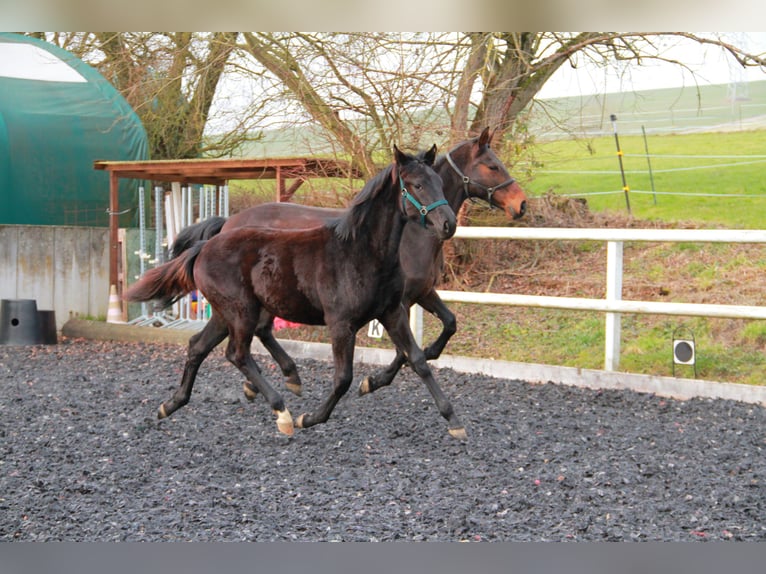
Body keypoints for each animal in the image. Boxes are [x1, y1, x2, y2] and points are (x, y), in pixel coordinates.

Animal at [125, 146, 465, 438]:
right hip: (241, 312)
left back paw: (170, 404)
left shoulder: (392, 313)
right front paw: (309, 418)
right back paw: (283, 412)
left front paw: (454, 421)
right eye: (417, 185)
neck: (362, 252)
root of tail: (204, 246)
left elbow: (418, 360)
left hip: (225, 314)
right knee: (238, 353)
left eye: (439, 182)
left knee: (199, 346)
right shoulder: (341, 323)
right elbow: (343, 378)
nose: (448, 224)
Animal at [170, 127, 527, 399]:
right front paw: (375, 381)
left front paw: (424, 356)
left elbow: (449, 323)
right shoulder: (401, 301)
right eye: (492, 166)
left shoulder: (422, 293)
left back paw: (275, 380)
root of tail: (227, 224)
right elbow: (404, 350)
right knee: (254, 332)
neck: (410, 233)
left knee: (253, 332)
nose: (521, 204)